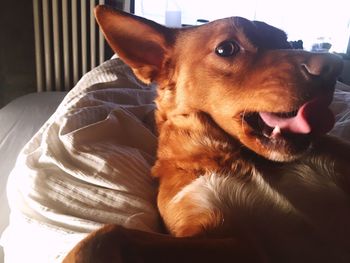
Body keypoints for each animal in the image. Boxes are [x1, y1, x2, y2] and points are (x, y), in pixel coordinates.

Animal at [63, 4, 350, 263]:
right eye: (226, 49)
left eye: (286, 42)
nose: (334, 66)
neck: (245, 159)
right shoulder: (228, 237)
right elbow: (104, 235)